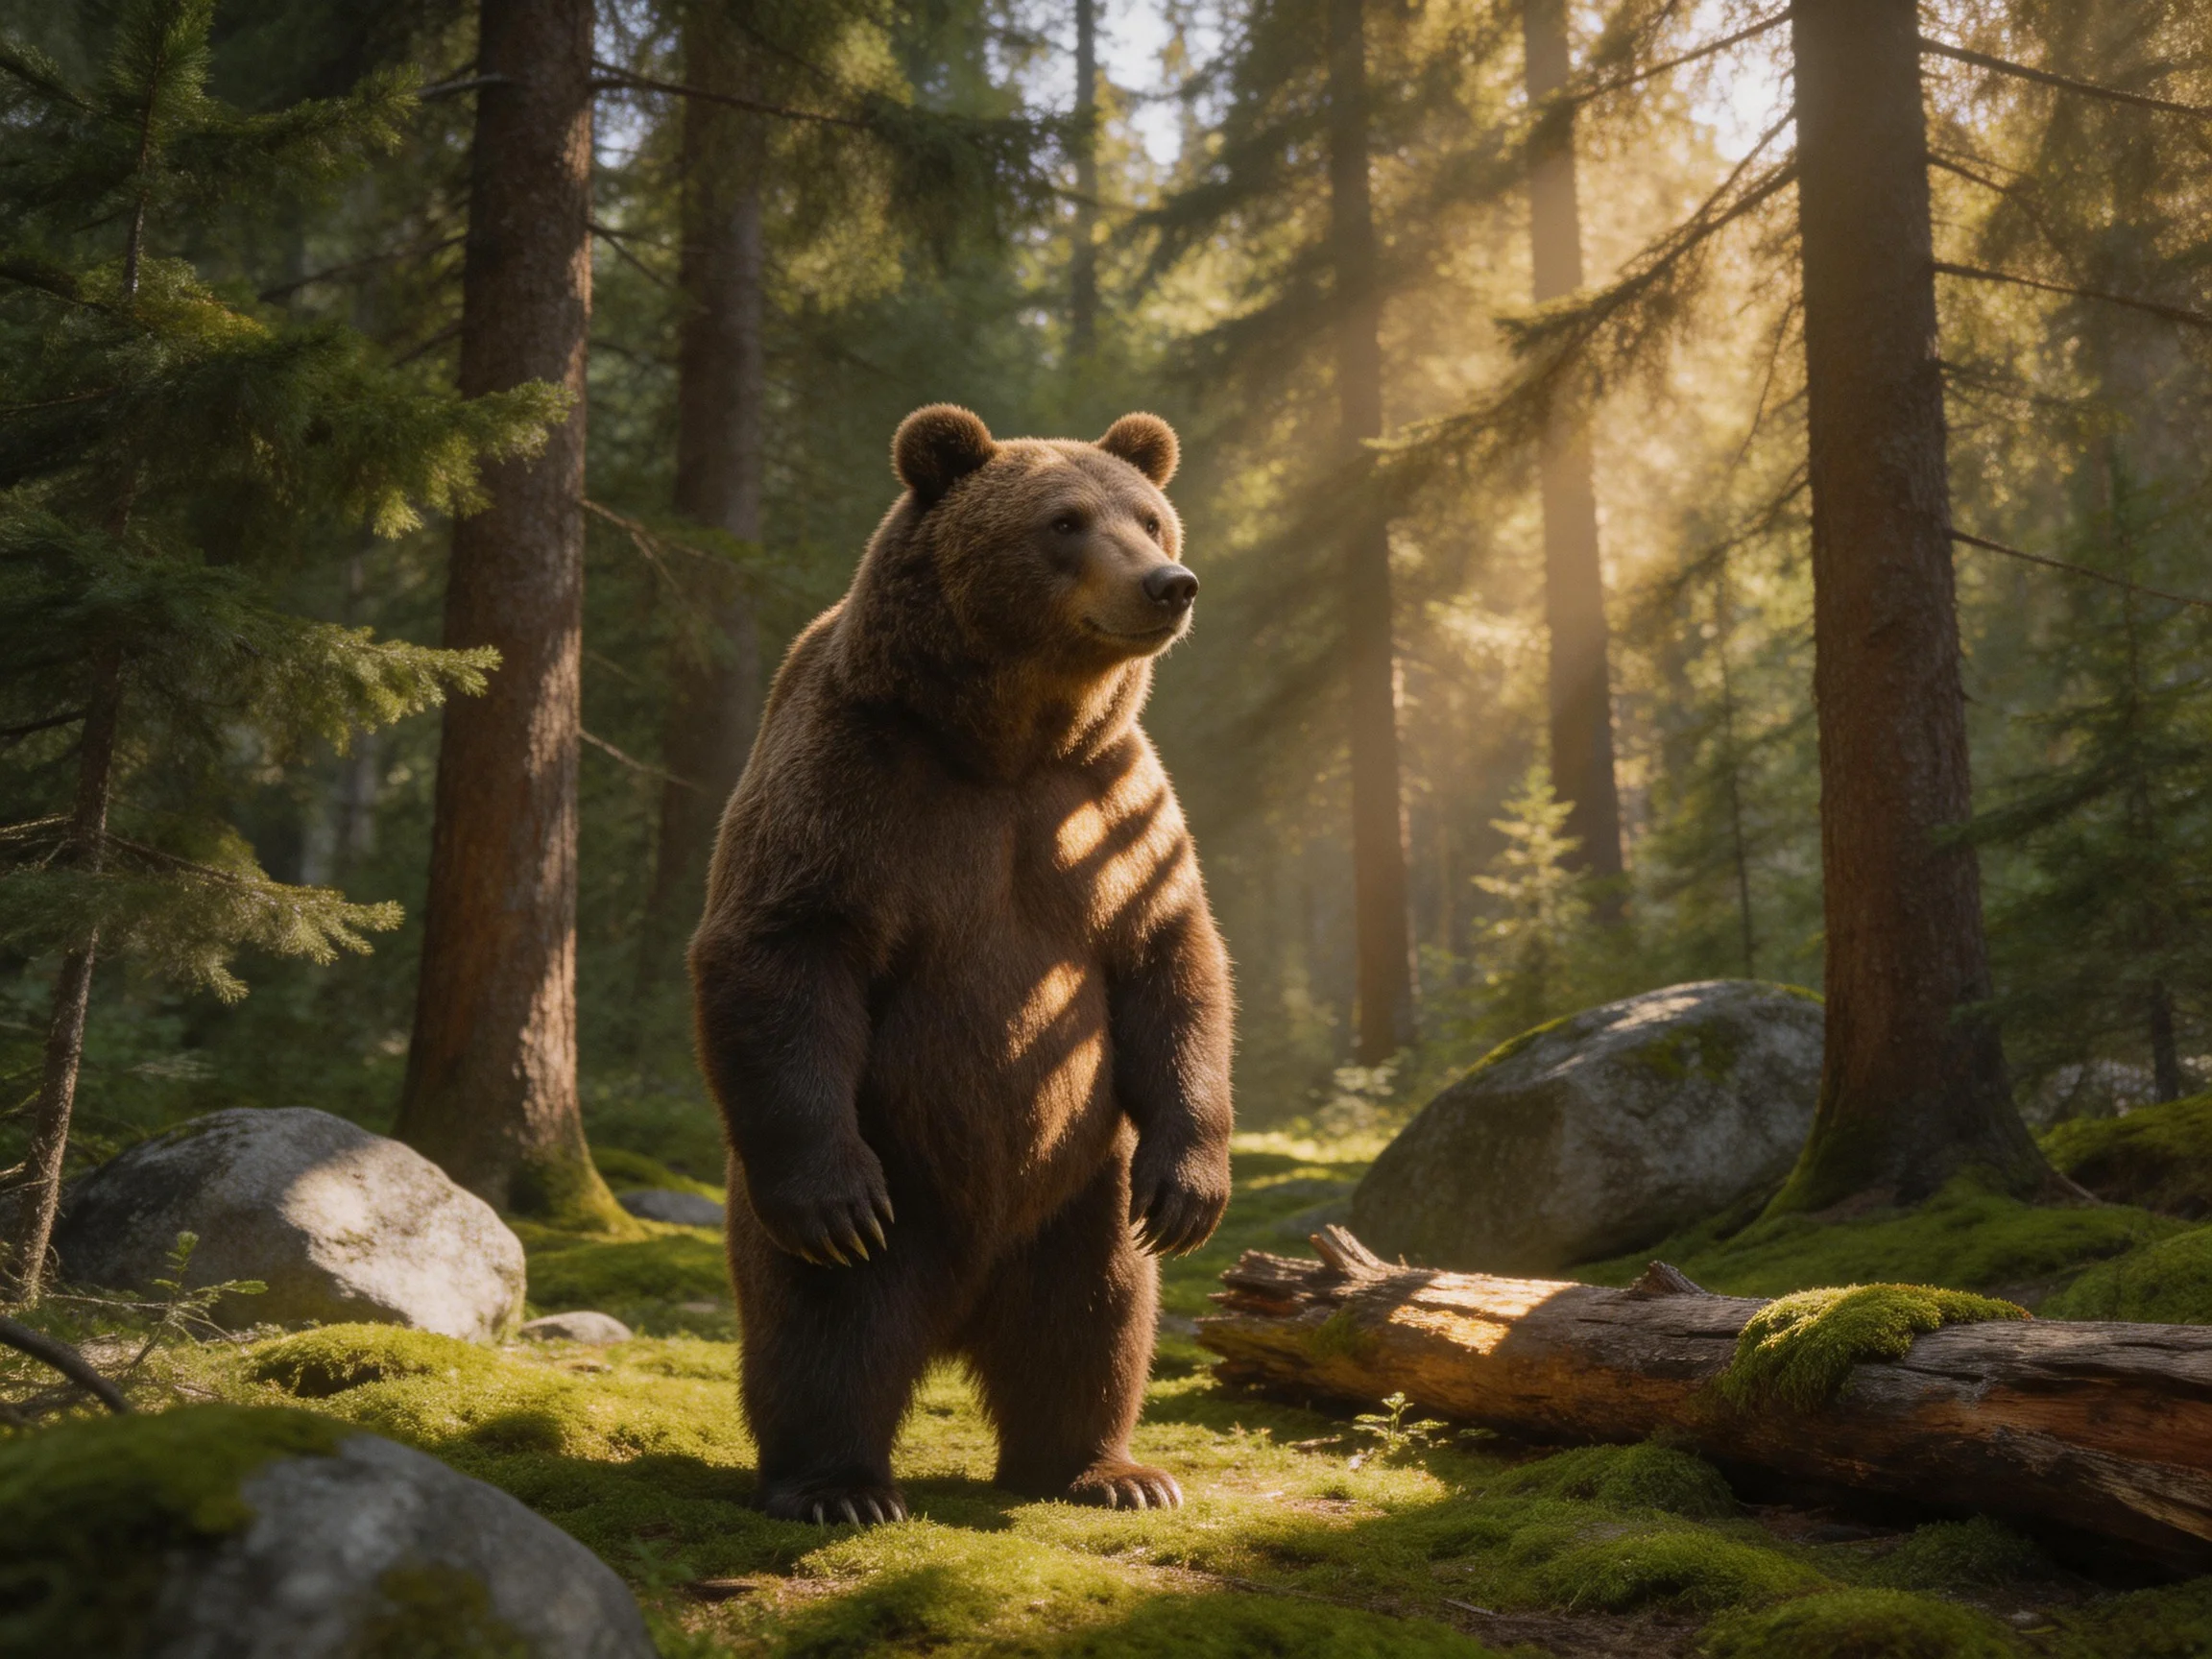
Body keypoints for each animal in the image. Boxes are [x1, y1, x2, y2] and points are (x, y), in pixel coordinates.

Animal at [688, 404, 1235, 1527]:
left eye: (1151, 517)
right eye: (1064, 521)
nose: (1170, 583)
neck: (1006, 740)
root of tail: (960, 1310)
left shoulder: (1107, 806)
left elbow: (1172, 958)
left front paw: (1192, 1191)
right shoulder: (855, 785)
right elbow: (782, 946)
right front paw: (831, 1200)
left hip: (1082, 1189)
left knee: (1097, 1317)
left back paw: (1107, 1468)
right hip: (901, 1173)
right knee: (829, 1326)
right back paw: (837, 1485)